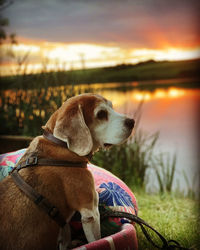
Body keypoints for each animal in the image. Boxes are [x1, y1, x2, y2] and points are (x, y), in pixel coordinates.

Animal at [0, 93, 135, 250]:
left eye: (112, 107)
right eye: (101, 114)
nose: (132, 122)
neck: (60, 145)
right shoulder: (91, 211)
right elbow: (95, 239)